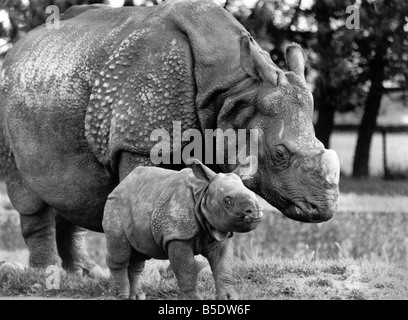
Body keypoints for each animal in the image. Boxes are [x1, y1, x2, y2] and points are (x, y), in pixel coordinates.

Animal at [101, 160, 262, 300]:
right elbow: (187, 270)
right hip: (115, 203)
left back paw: (136, 297)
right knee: (121, 253)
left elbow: (223, 267)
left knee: (138, 255)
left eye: (254, 195)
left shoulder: (219, 232)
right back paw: (121, 296)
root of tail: (120, 185)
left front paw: (229, 298)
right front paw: (193, 299)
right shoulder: (177, 236)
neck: (202, 192)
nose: (255, 212)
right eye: (227, 201)